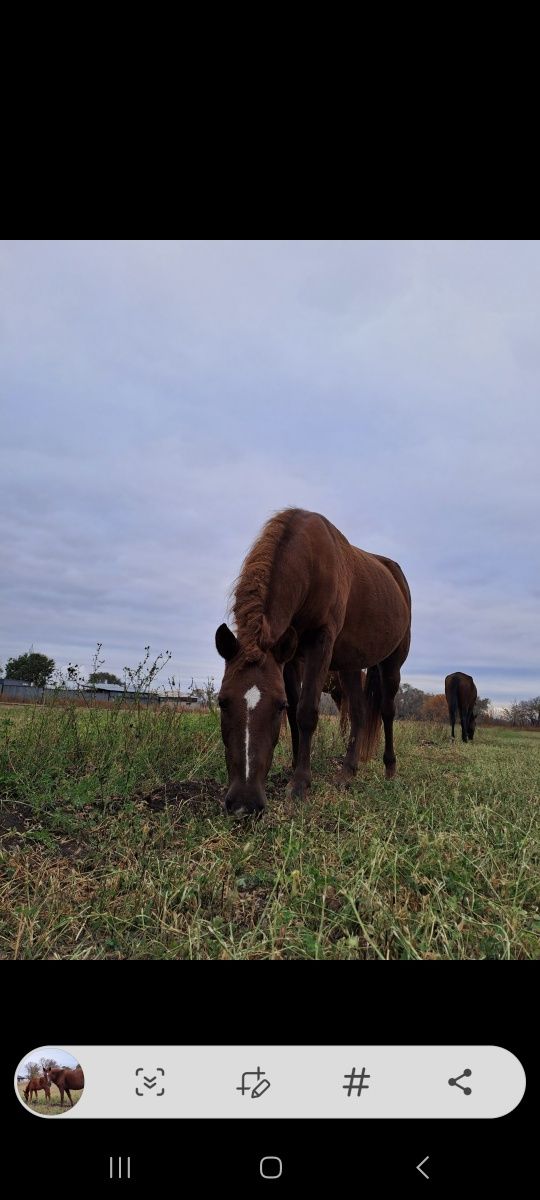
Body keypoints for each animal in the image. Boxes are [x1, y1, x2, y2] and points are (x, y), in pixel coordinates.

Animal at [213, 506, 410, 816]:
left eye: (277, 705)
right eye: (222, 701)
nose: (244, 803)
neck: (311, 565)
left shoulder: (320, 643)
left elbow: (306, 712)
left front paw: (300, 784)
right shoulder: (290, 658)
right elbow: (296, 713)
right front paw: (294, 767)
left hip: (392, 663)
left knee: (387, 711)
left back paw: (390, 769)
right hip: (350, 665)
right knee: (359, 712)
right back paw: (347, 772)